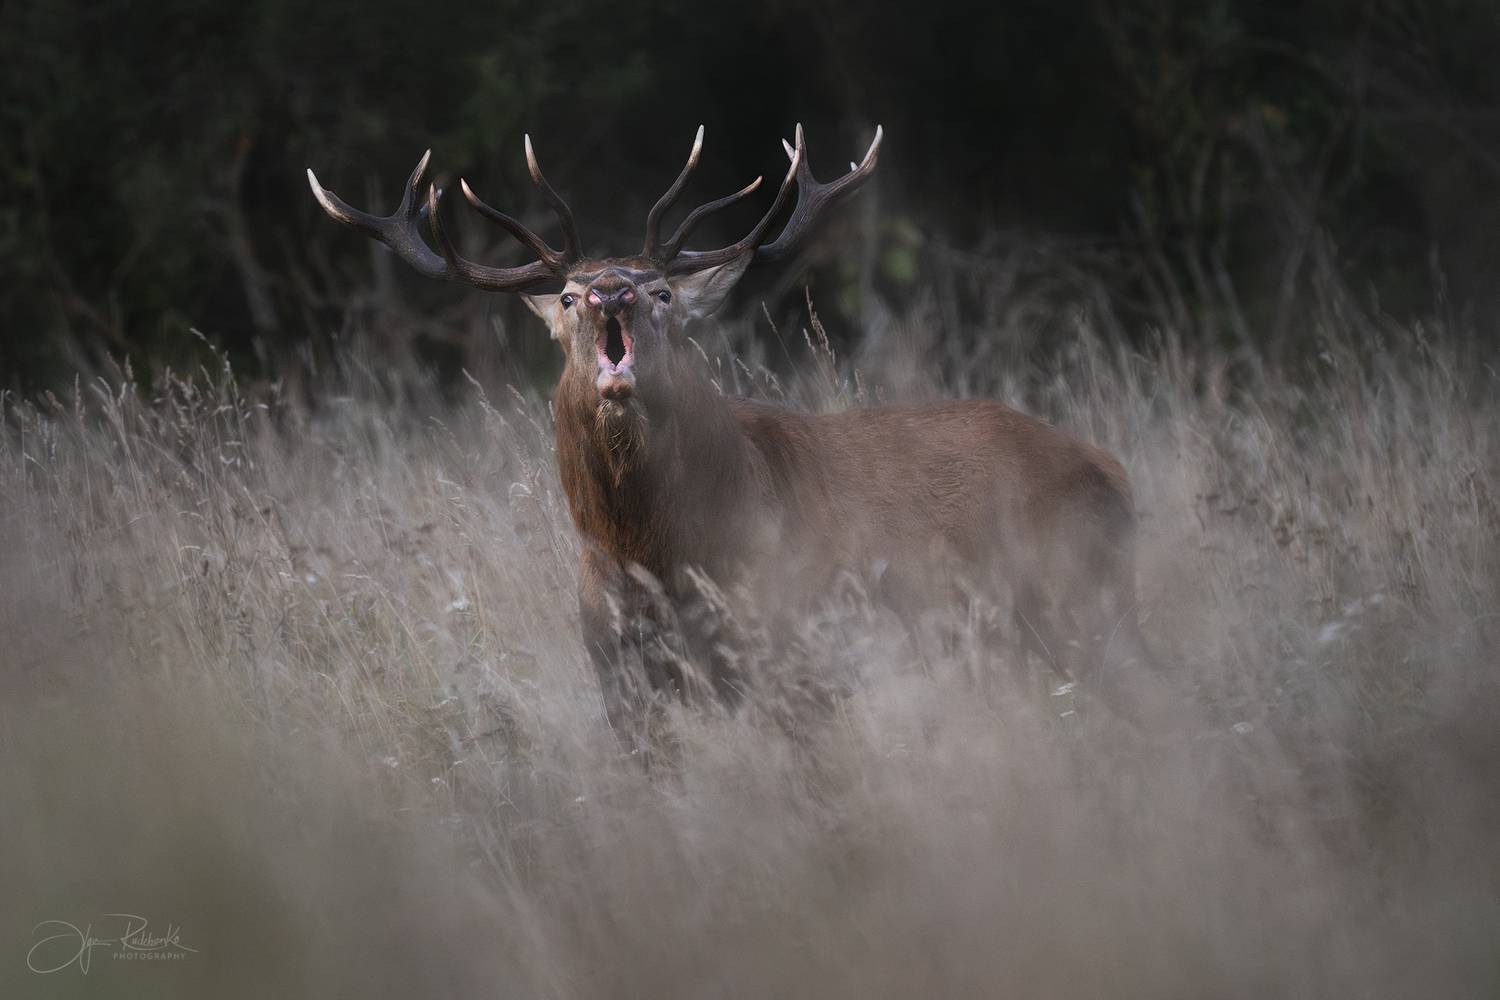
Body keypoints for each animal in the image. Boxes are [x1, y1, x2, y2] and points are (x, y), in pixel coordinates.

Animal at [308, 125, 1151, 740]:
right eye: (571, 297)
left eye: (660, 291)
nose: (611, 291)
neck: (655, 557)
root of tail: (1110, 469)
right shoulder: (621, 678)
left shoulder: (791, 654)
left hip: (1072, 601)